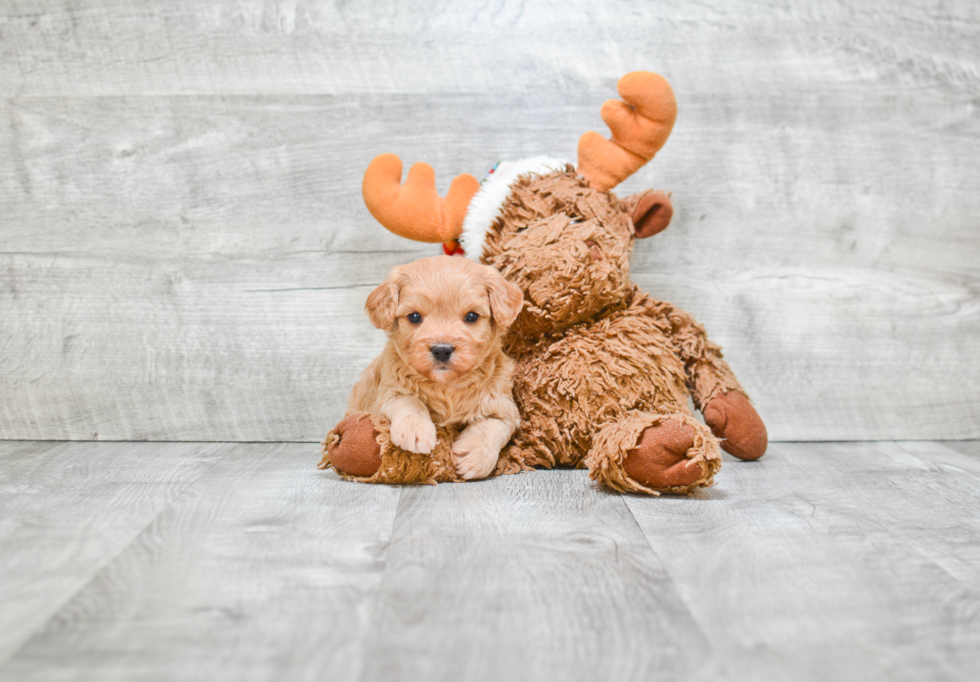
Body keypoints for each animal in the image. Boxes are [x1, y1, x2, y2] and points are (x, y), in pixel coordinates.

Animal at [346, 254, 524, 478]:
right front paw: (415, 431)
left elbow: (493, 424)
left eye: (472, 316)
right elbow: (410, 401)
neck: (446, 386)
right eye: (414, 317)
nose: (442, 350)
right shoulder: (387, 394)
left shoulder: (505, 408)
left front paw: (475, 457)